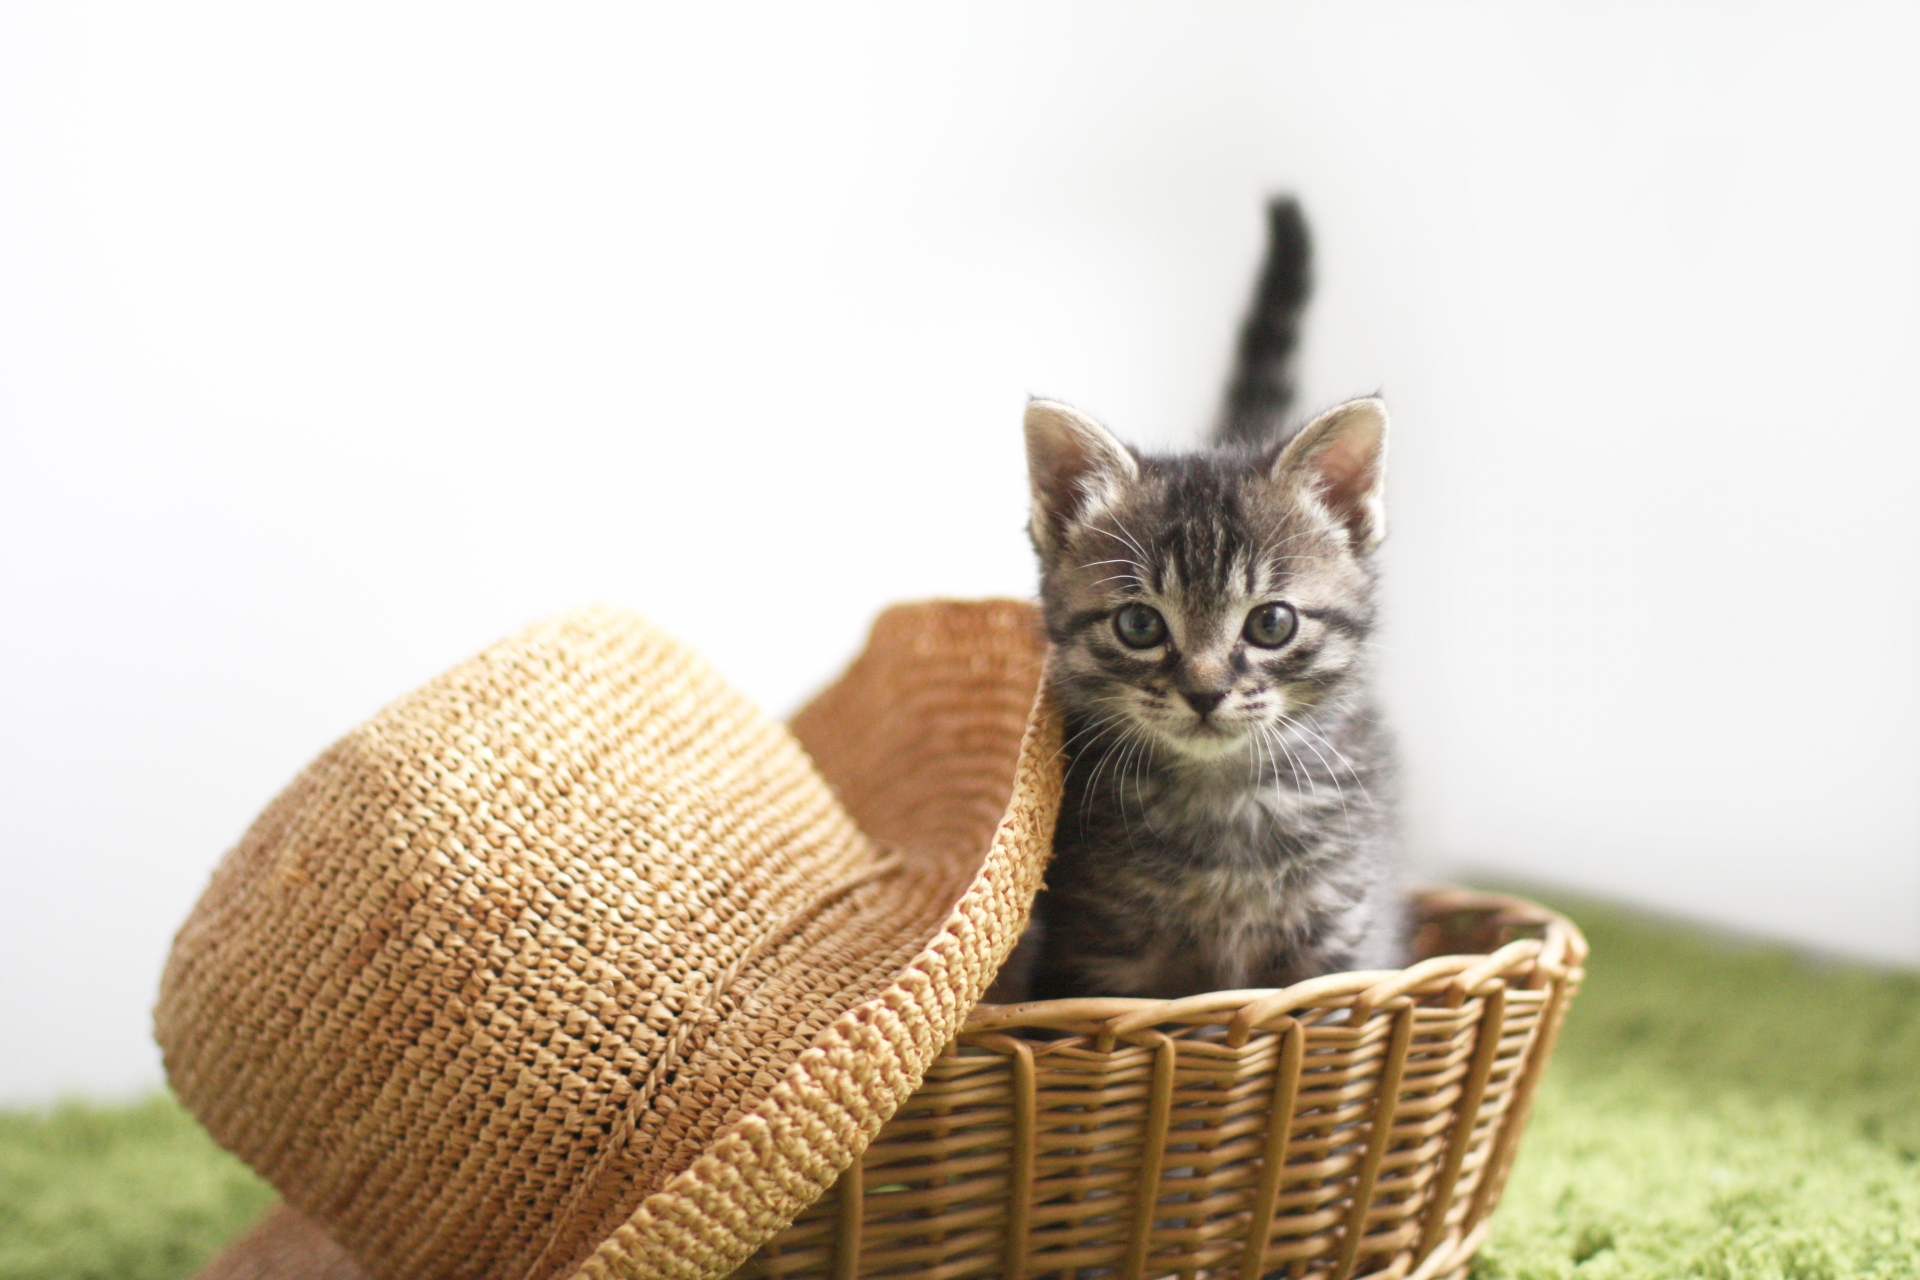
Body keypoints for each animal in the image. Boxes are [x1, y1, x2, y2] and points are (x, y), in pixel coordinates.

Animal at [1029, 200, 1405, 997]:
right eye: (1140, 624)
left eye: (1272, 623)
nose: (1203, 693)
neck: (1221, 803)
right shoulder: (1096, 958)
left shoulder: (1342, 950)